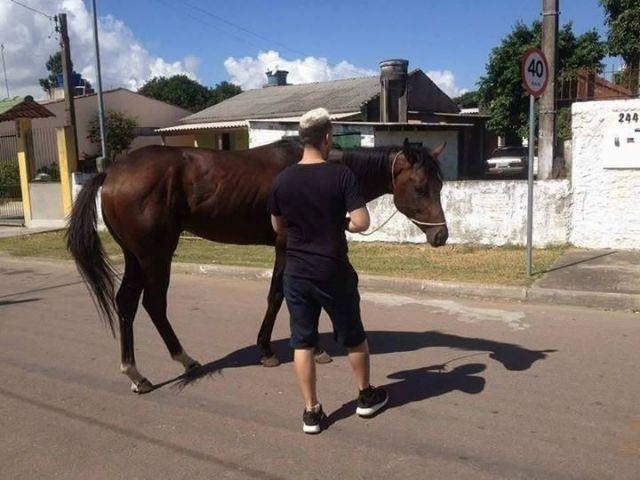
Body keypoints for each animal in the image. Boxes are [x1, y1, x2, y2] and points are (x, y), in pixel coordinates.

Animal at [63, 139, 444, 394]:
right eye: (421, 186)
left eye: (440, 185)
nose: (441, 235)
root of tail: (112, 171)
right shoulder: (286, 246)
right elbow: (278, 296)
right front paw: (267, 350)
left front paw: (316, 349)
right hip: (153, 255)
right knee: (151, 303)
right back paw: (161, 367)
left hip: (137, 256)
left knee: (130, 304)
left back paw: (152, 369)